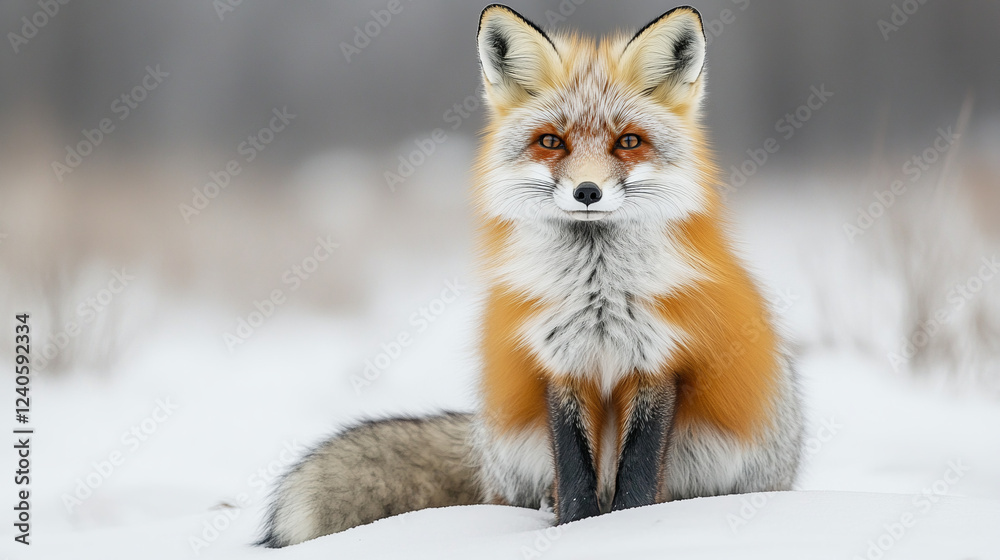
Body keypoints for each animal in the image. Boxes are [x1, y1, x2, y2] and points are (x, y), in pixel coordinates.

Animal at [258, 4, 804, 547]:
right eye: (551, 142)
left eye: (628, 141)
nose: (588, 191)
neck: (598, 296)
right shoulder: (560, 365)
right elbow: (576, 472)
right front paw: (575, 530)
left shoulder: (657, 364)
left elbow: (639, 473)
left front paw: (627, 529)